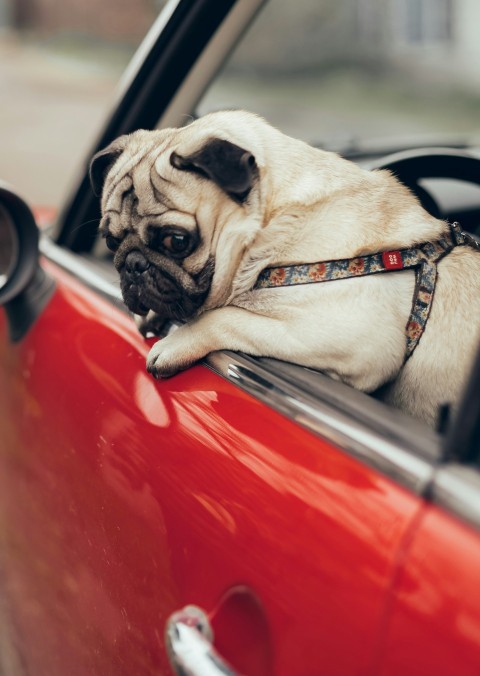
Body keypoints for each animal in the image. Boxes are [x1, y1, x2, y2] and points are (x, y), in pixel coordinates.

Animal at [90, 111, 480, 428]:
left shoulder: (348, 337)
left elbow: (224, 317)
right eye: (110, 241)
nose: (133, 265)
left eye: (176, 241)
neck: (275, 225)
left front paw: (175, 343)